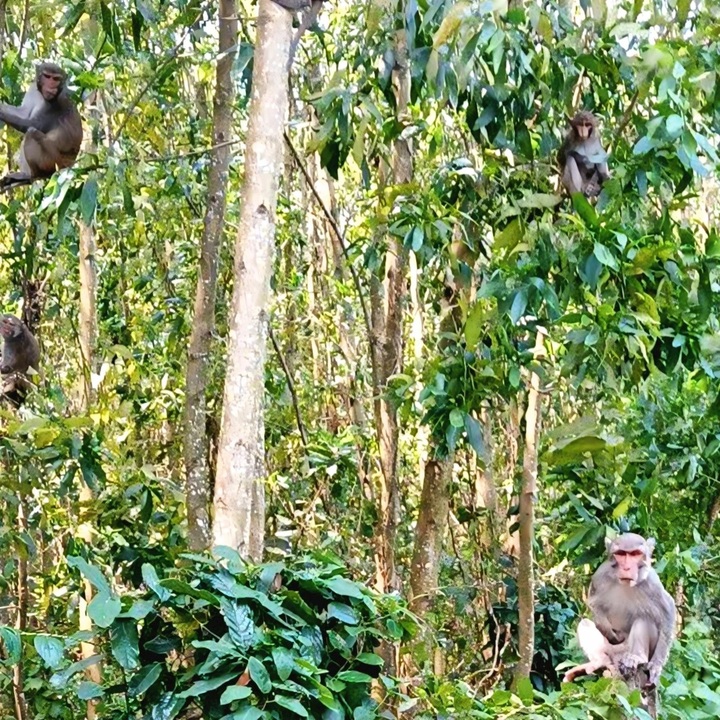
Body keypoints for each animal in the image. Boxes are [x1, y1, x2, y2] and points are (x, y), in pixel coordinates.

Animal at [564, 533, 676, 689]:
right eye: (621, 554)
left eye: (635, 554)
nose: (627, 567)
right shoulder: (600, 576)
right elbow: (593, 603)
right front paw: (606, 629)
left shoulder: (653, 582)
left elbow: (668, 610)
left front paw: (656, 666)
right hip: (610, 651)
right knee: (585, 623)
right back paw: (600, 661)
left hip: (630, 650)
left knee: (643, 619)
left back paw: (636, 657)